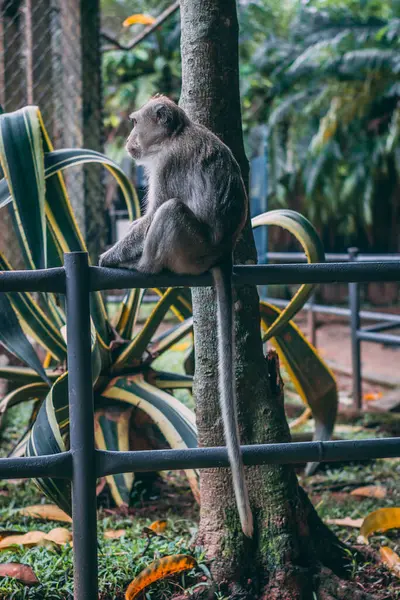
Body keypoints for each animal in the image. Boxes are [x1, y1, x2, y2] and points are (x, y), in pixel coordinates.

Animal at [99, 96, 253, 536]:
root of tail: (221, 254)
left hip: (189, 249)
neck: (177, 135)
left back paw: (144, 267)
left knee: (170, 212)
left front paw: (109, 256)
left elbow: (153, 214)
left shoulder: (167, 163)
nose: (129, 139)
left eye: (135, 122)